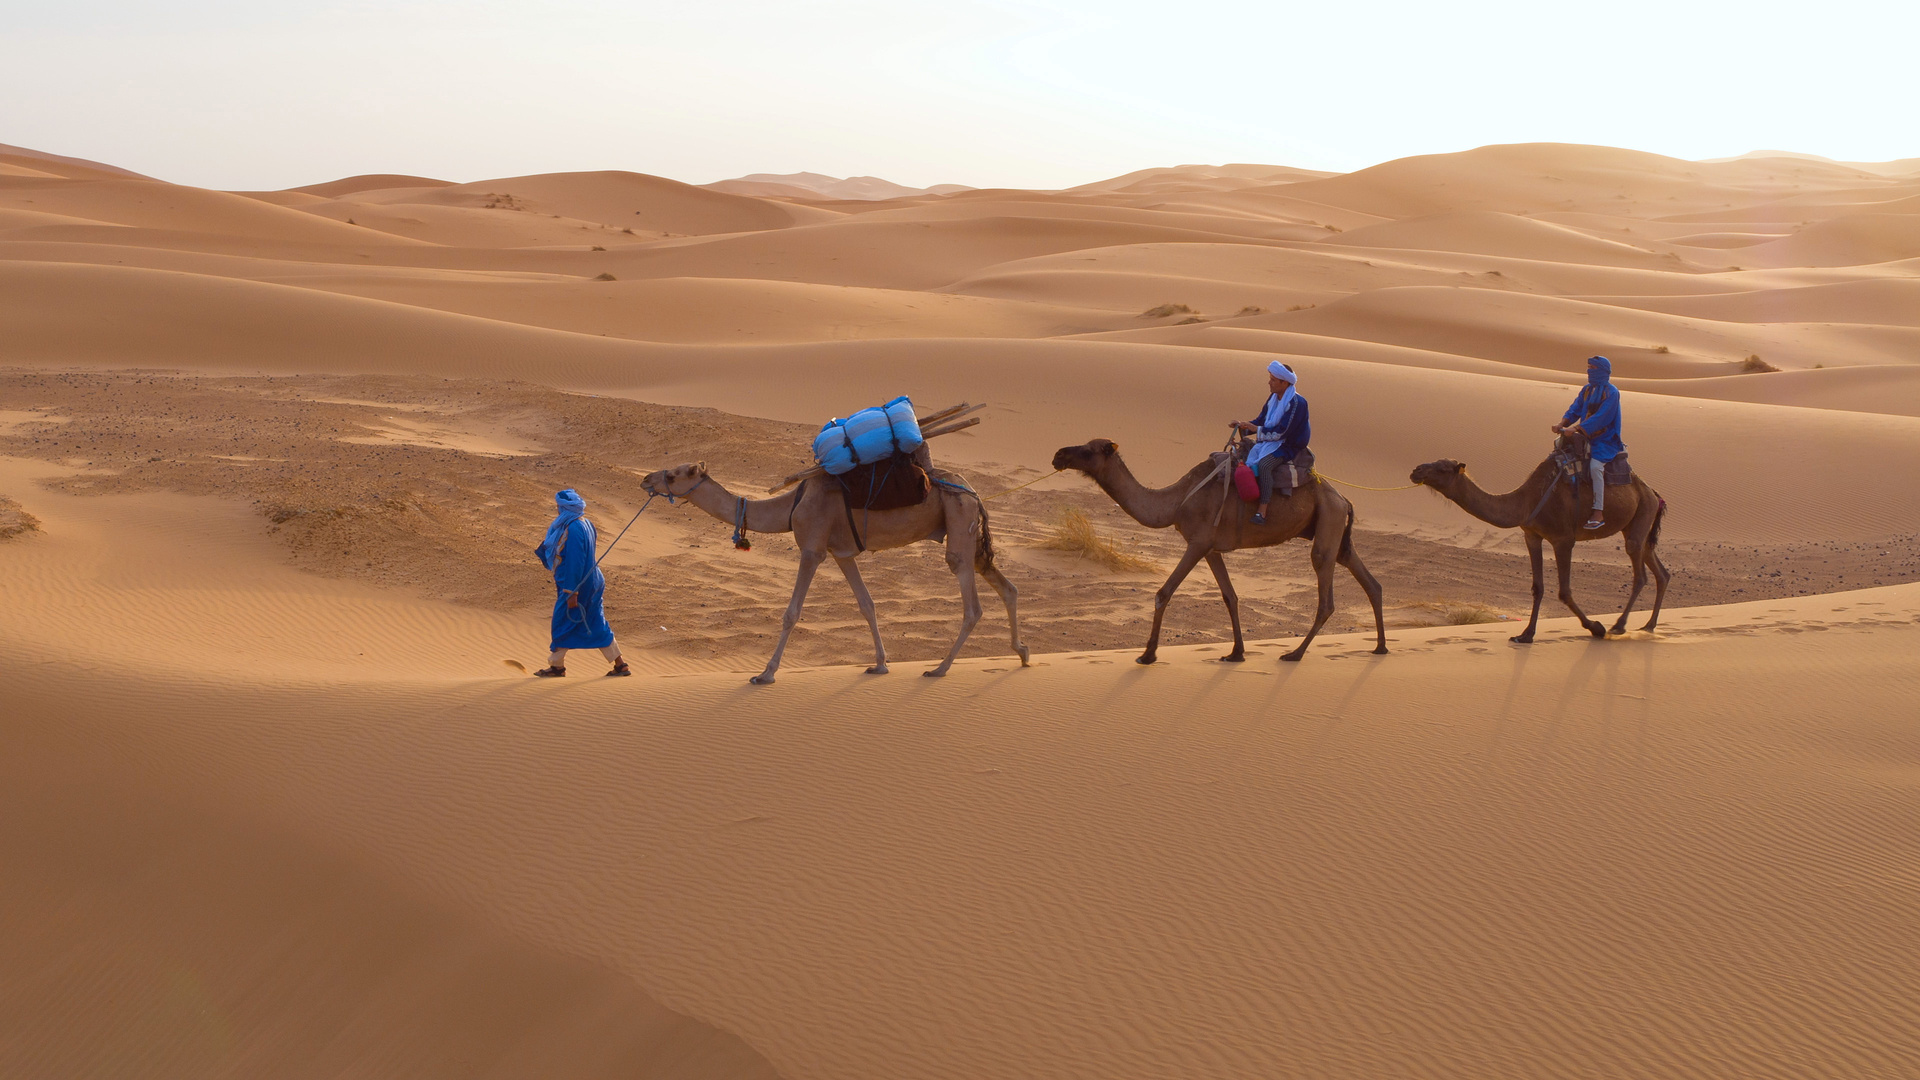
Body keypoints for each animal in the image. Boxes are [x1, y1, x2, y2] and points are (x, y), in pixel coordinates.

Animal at [637, 461, 1029, 680]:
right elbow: (867, 605)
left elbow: (791, 613)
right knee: (1007, 586)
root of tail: (974, 491)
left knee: (972, 605)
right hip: (967, 534)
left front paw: (765, 673)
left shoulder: (812, 548)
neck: (791, 506)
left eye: (672, 474)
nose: (645, 480)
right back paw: (1022, 652)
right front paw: (880, 664)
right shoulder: (842, 553)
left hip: (959, 523)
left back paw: (940, 668)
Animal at [1052, 434, 1382, 657]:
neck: (1176, 501)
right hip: (1332, 527)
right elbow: (1230, 597)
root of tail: (1344, 498)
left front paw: (1147, 654)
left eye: (1088, 450)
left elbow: (1163, 594)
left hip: (1327, 523)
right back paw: (1380, 647)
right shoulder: (1211, 549)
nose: (1058, 454)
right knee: (1369, 581)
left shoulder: (1197, 543)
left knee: (1325, 589)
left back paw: (1295, 653)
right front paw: (1236, 652)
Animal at [1405, 432, 1674, 641]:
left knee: (1640, 574)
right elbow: (1537, 587)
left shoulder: (1563, 539)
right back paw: (1649, 625)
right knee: (1660, 571)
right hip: (1638, 523)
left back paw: (1618, 626)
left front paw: (1596, 627)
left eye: (1442, 468)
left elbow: (1564, 591)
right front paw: (1525, 634)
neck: (1527, 501)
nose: (1416, 470)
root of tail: (1652, 492)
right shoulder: (1532, 535)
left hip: (1640, 517)